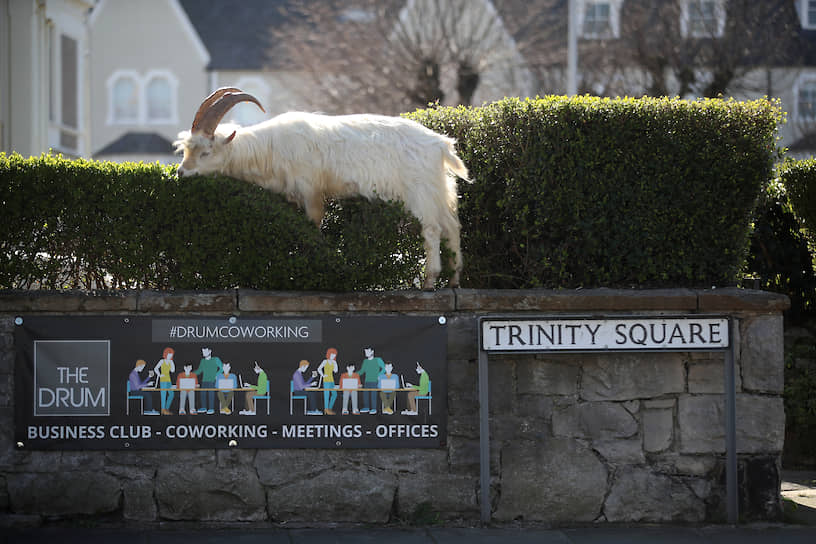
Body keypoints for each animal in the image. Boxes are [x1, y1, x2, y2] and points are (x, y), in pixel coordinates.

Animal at [177, 87, 472, 288]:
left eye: (205, 152)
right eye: (186, 149)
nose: (180, 173)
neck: (269, 149)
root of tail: (441, 145)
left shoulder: (311, 191)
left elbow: (315, 225)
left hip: (421, 192)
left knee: (432, 229)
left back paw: (430, 282)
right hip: (441, 188)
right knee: (452, 225)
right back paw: (455, 279)